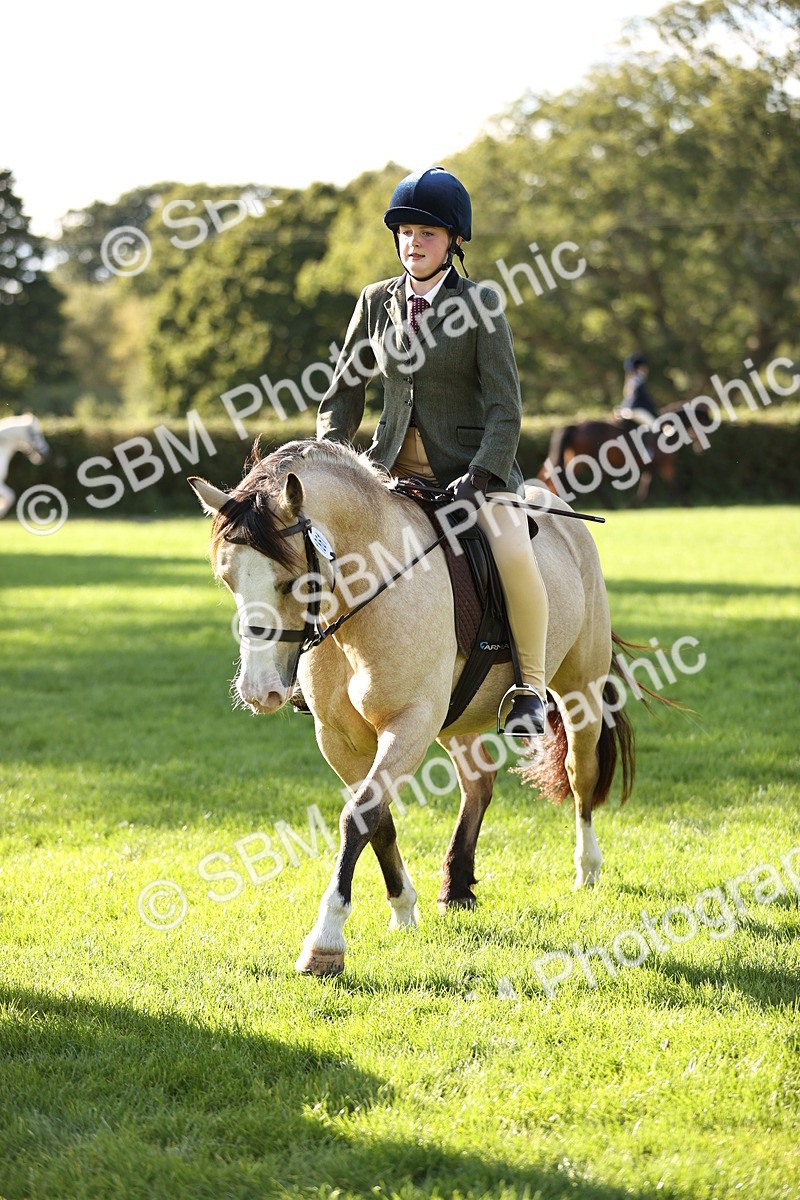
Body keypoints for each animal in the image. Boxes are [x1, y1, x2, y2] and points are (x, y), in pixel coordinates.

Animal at [189, 438, 636, 978]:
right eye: (228, 580)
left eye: (295, 582)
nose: (260, 692)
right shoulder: (339, 739)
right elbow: (378, 817)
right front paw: (403, 909)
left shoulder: (410, 723)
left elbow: (359, 815)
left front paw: (326, 942)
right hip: (458, 718)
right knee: (478, 785)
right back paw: (457, 887)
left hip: (579, 690)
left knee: (578, 772)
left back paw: (586, 868)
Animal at [539, 400, 714, 507]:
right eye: (705, 426)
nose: (702, 449)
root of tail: (577, 425)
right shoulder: (664, 465)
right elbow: (673, 486)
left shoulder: (656, 468)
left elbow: (649, 488)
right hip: (591, 461)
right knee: (593, 485)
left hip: (576, 460)